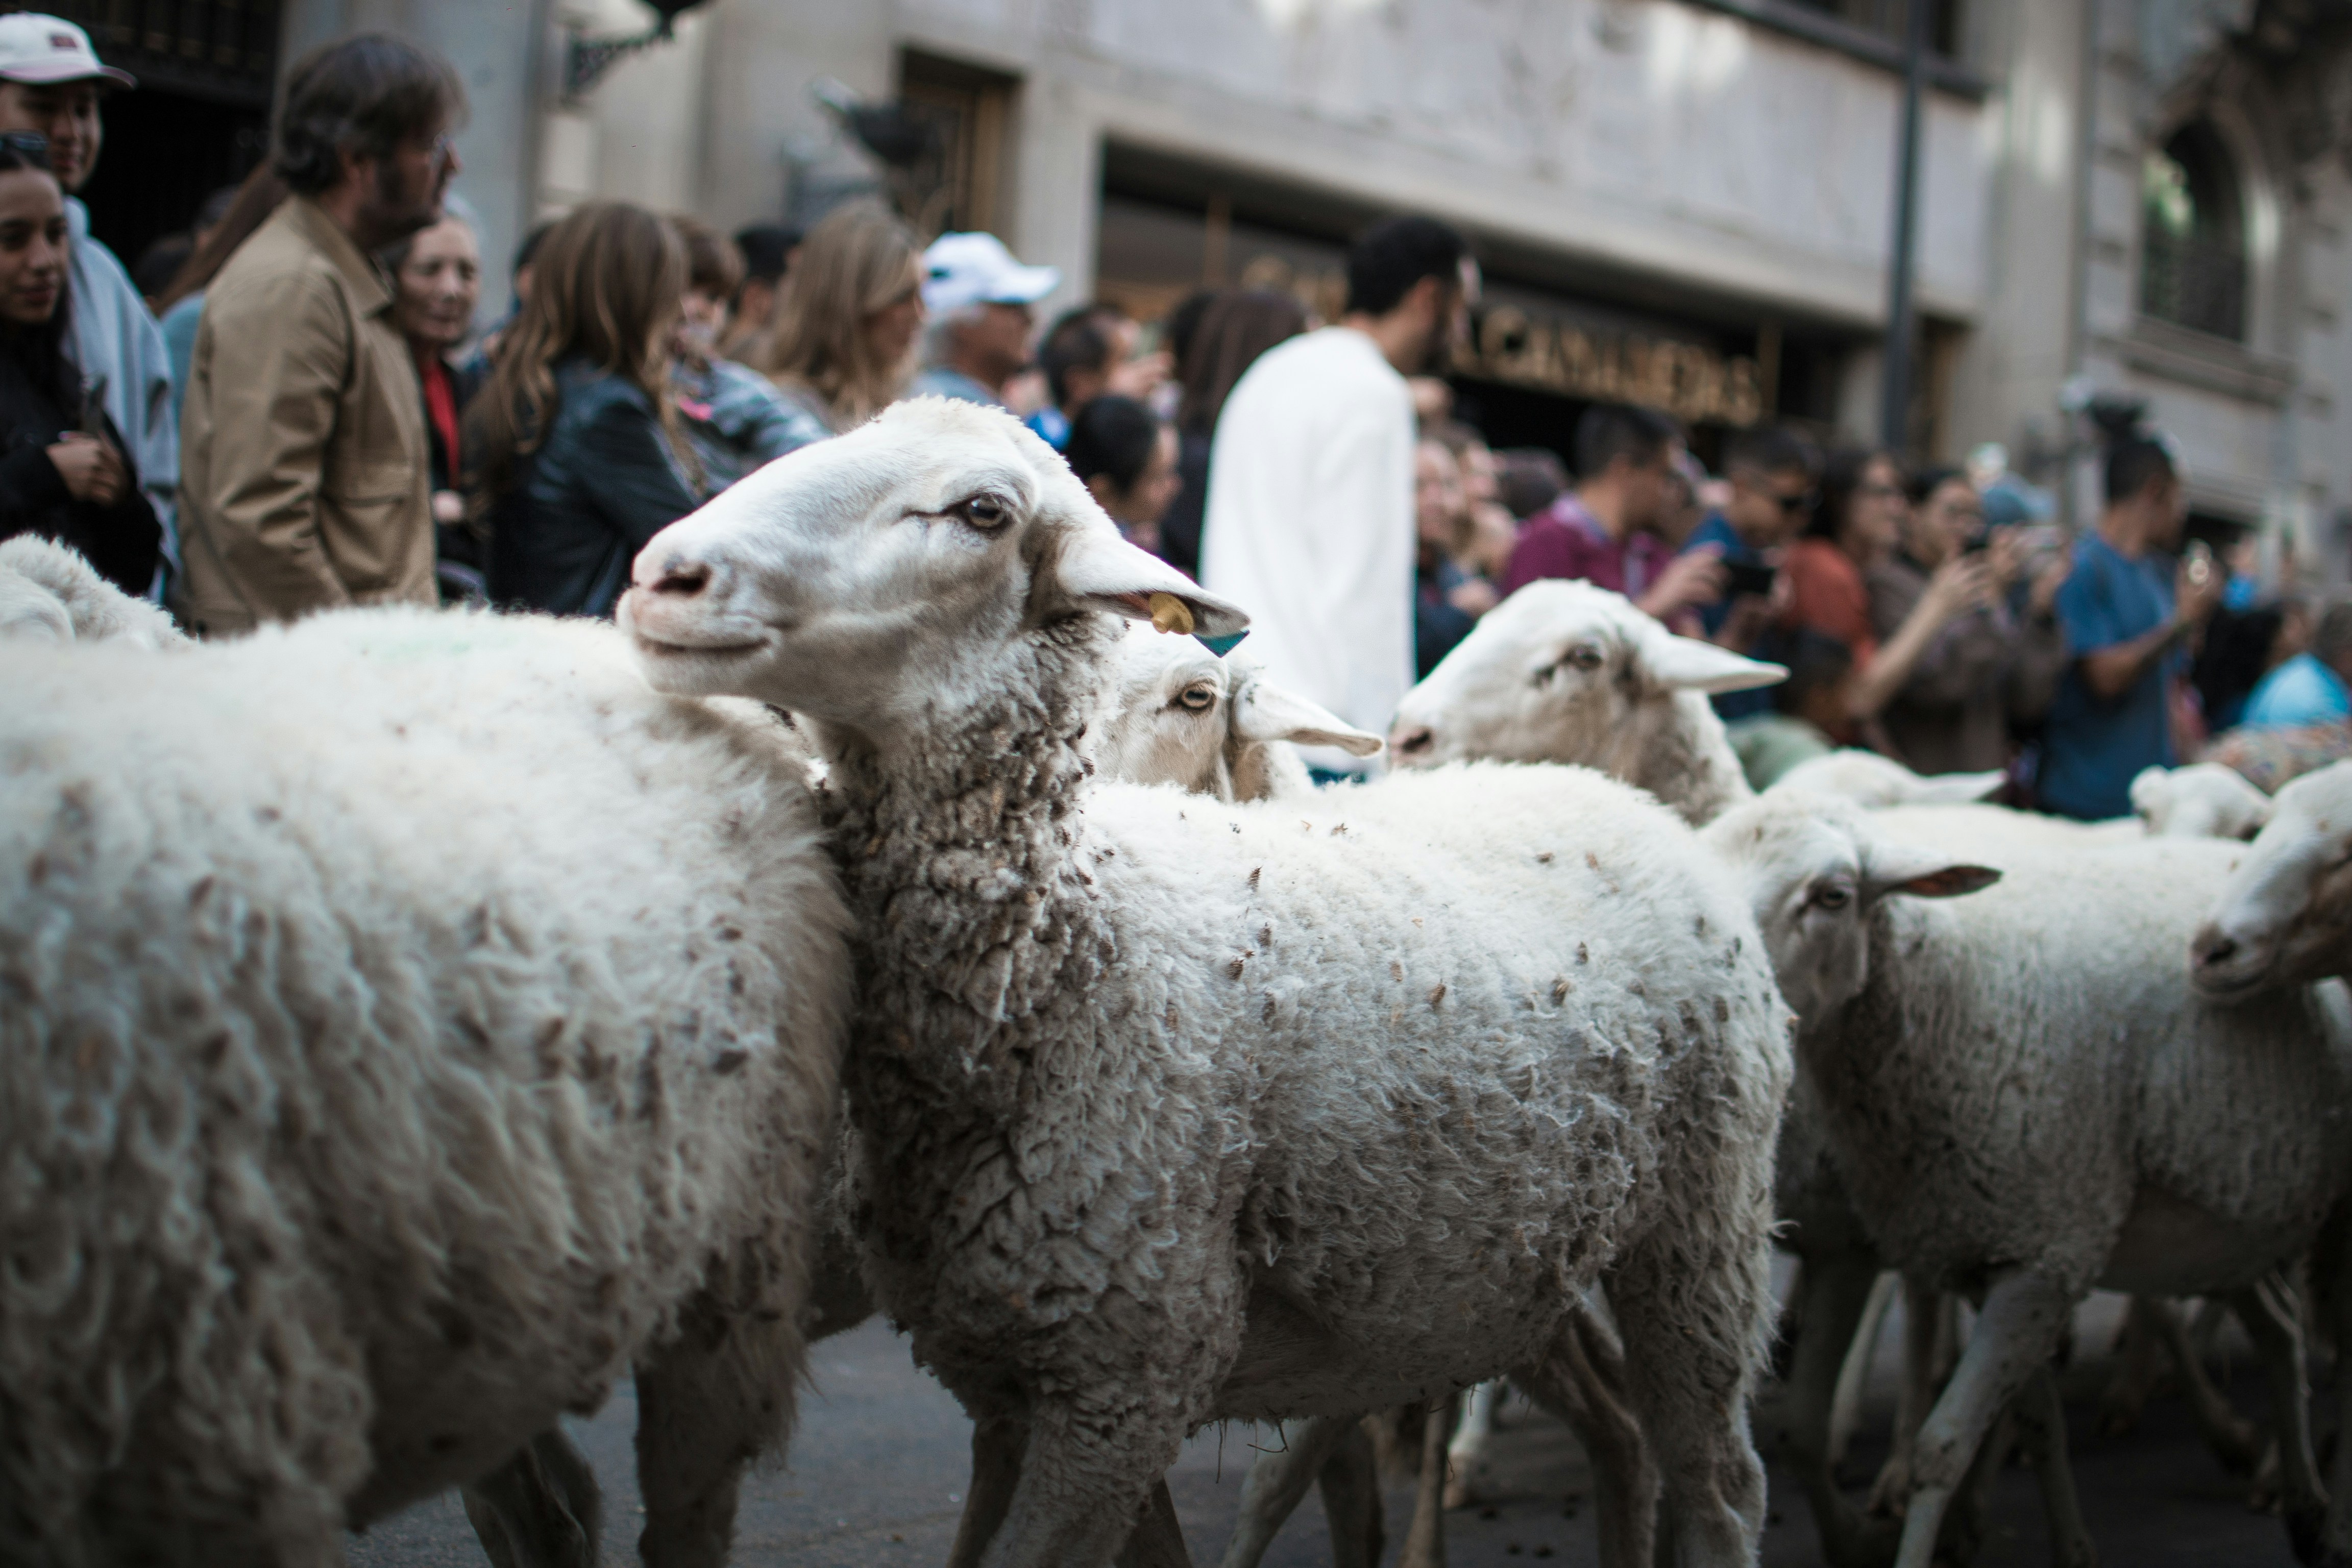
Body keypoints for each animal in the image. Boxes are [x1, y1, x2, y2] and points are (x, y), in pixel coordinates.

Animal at [619, 396, 1793, 1568]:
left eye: (983, 512)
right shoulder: (1018, 1375)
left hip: (1697, 1232)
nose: (661, 577)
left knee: (1720, 1479)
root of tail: (1613, 799)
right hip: (1504, 1269)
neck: (1073, 957)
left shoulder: (1127, 1374)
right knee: (1619, 1432)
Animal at [1705, 789, 2352, 1568]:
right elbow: (2027, 1417)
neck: (1954, 994)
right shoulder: (1994, 1253)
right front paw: (2065, 1543)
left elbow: (1942, 1446)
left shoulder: (2038, 1253)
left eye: (1833, 896)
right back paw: (2302, 1505)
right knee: (2281, 1330)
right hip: (2226, 1220)